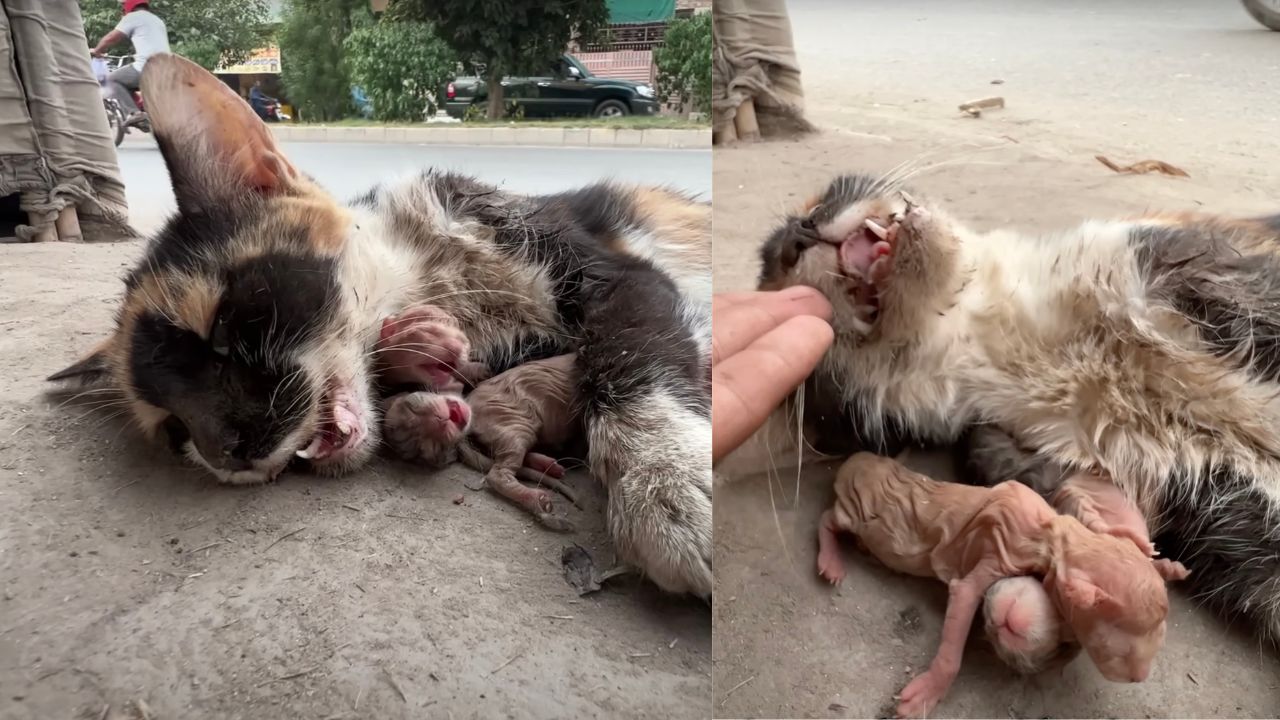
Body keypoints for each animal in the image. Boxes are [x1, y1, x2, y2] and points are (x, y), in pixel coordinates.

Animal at [47, 54, 711, 594]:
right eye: (173, 429)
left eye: (224, 326)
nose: (225, 453)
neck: (428, 275)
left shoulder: (620, 276)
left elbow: (632, 352)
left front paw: (667, 484)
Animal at [819, 450, 1187, 712]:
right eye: (1117, 652)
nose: (1140, 677)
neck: (1051, 538)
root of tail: (859, 459)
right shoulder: (1003, 552)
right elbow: (965, 596)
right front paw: (927, 693)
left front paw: (1160, 559)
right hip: (856, 506)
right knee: (828, 519)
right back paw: (830, 559)